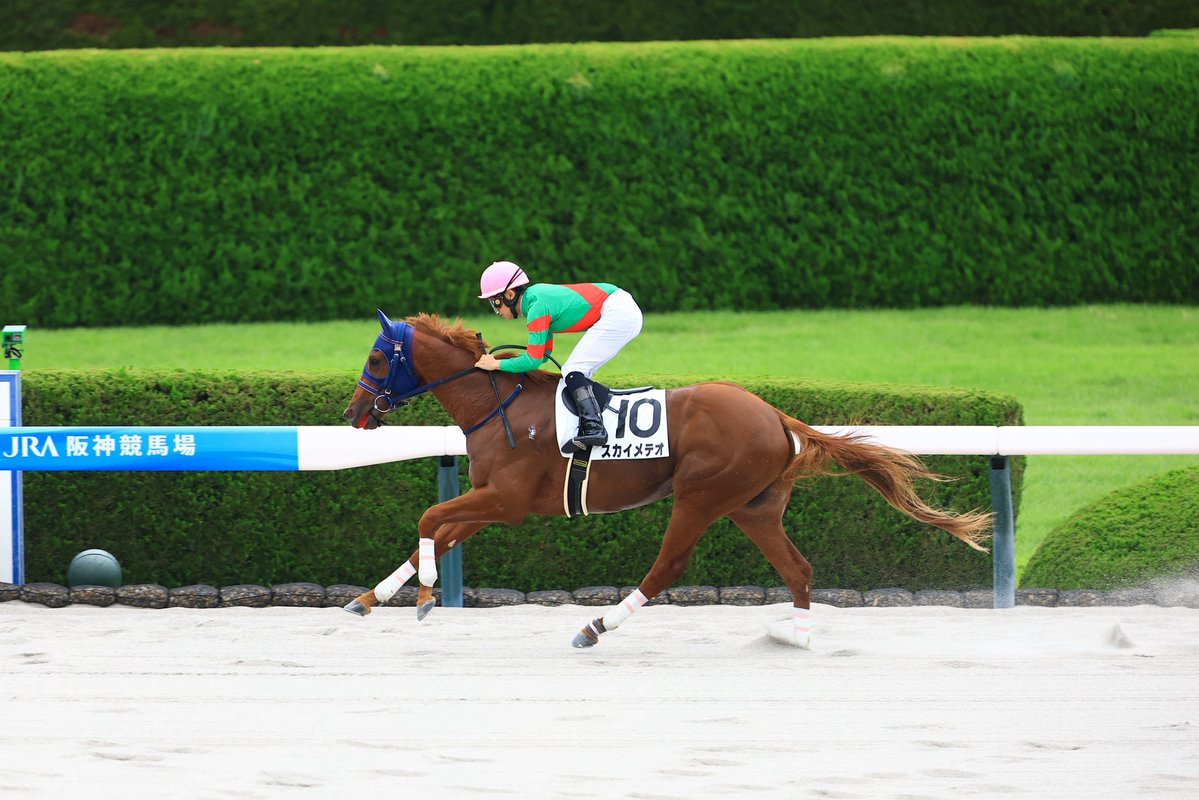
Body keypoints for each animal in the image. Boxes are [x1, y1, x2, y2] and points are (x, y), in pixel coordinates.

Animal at [340, 310, 991, 648]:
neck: (498, 406)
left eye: (375, 359)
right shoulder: (487, 500)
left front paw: (425, 596)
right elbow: (434, 534)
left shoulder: (507, 500)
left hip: (702, 495)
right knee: (798, 568)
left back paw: (597, 625)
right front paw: (370, 599)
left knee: (668, 565)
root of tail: (776, 415)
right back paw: (798, 637)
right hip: (753, 506)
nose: (354, 414)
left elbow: (429, 519)